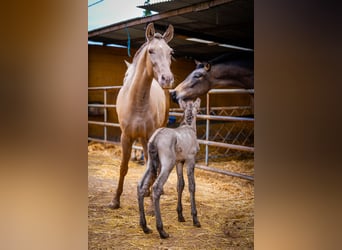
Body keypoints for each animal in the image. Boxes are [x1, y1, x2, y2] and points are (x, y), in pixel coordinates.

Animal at [109, 22, 175, 208]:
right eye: (151, 51)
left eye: (170, 52)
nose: (167, 79)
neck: (138, 102)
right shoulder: (126, 137)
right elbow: (123, 167)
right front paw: (115, 200)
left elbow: (152, 168)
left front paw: (152, 203)